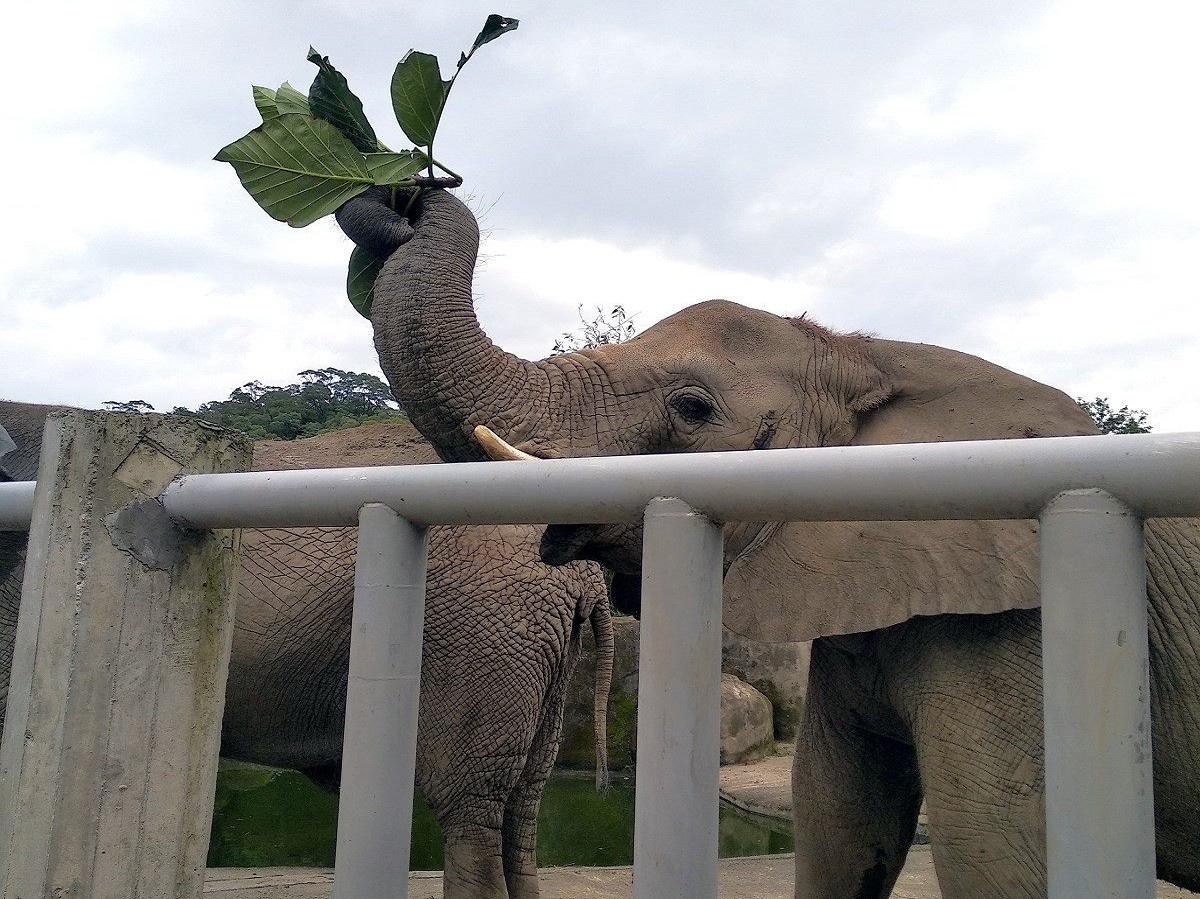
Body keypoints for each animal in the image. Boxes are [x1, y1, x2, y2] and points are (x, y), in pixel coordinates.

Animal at [331, 183, 1200, 897]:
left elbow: (997, 852)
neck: (876, 360)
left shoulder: (1015, 627)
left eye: (691, 408)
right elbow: (837, 822)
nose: (404, 197)